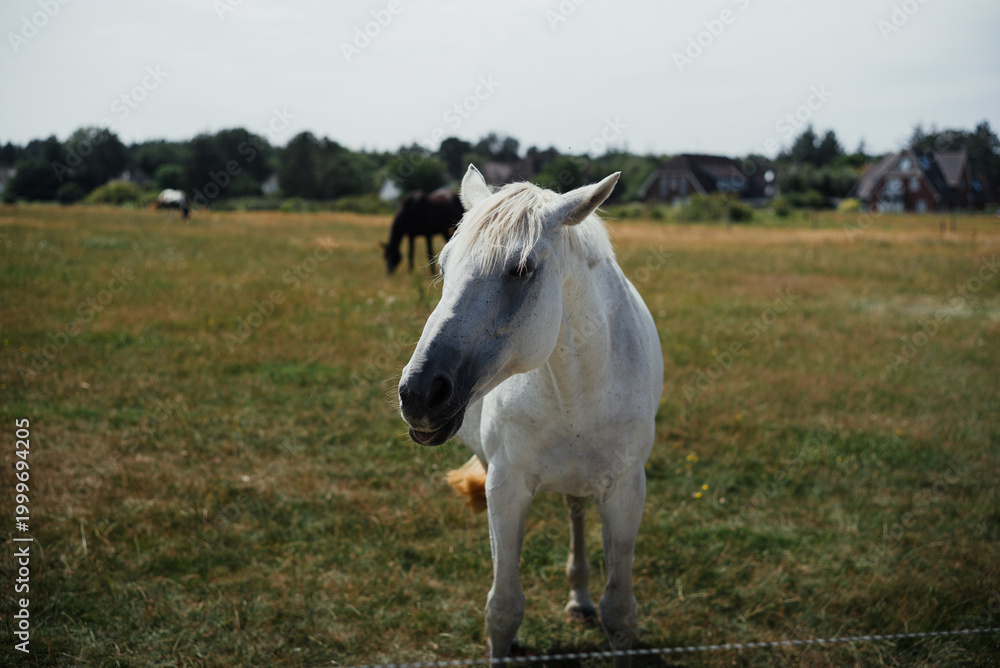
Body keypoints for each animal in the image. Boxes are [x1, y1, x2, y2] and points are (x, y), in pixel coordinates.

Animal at [398, 165, 663, 666]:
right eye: (443, 265)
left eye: (521, 269)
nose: (419, 394)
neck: (577, 391)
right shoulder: (506, 486)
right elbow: (503, 607)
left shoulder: (626, 490)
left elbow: (620, 611)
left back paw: (579, 600)